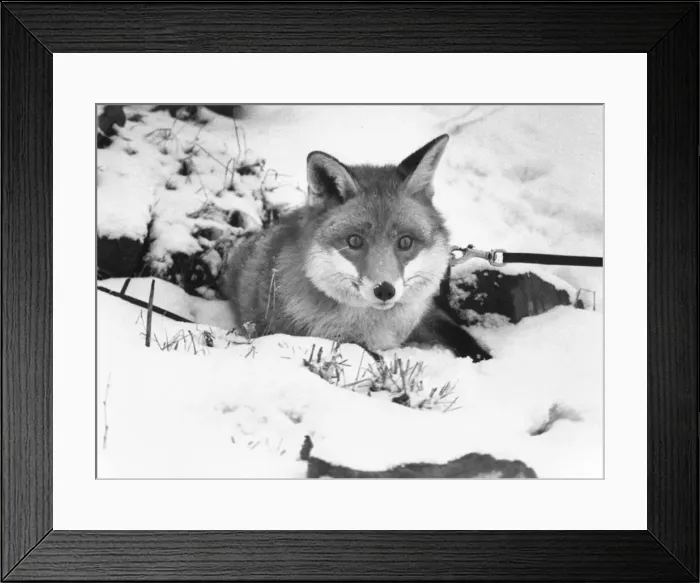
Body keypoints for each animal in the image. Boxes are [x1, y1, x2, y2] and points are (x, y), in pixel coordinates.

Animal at [222, 134, 491, 362]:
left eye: (405, 242)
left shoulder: (426, 318)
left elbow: (461, 336)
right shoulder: (318, 336)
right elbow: (370, 357)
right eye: (354, 241)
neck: (379, 326)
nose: (385, 290)